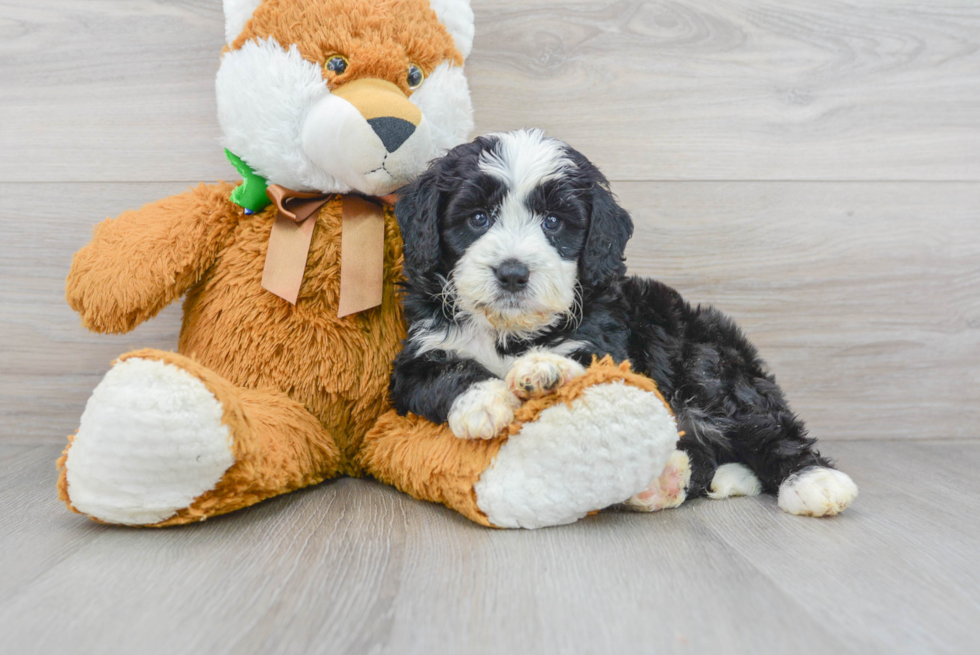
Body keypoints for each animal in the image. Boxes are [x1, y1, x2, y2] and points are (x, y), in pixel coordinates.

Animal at [390, 128, 856, 516]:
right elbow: (444, 372)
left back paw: (815, 480)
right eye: (479, 218)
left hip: (709, 366)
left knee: (766, 426)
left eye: (553, 222)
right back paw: (668, 481)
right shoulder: (413, 360)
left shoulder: (608, 342)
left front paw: (543, 370)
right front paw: (484, 400)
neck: (512, 331)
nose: (512, 273)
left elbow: (588, 366)